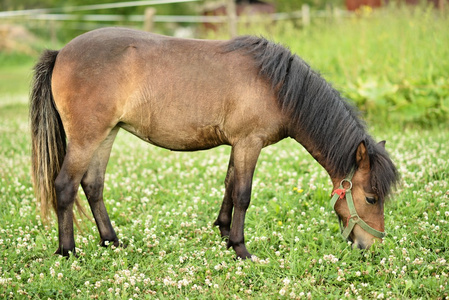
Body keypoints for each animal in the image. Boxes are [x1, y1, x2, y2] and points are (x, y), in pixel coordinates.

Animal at [29, 27, 398, 258]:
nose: (371, 247)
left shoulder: (238, 144)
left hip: (106, 134)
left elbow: (229, 186)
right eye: (370, 197)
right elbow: (243, 194)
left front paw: (223, 234)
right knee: (65, 186)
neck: (276, 85)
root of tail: (62, 52)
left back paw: (111, 242)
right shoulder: (249, 142)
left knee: (93, 186)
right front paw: (241, 248)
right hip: (86, 138)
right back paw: (67, 251)